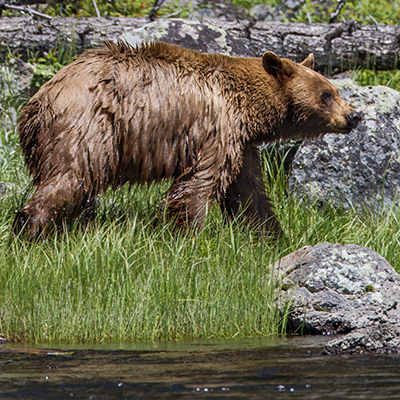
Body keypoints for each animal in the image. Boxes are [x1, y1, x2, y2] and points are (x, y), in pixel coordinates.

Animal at [14, 41, 360, 238]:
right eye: (327, 94)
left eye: (334, 90)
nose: (354, 116)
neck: (249, 108)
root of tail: (37, 101)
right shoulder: (217, 129)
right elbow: (200, 182)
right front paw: (190, 236)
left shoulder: (241, 142)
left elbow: (249, 192)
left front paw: (272, 237)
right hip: (88, 128)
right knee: (71, 176)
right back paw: (29, 229)